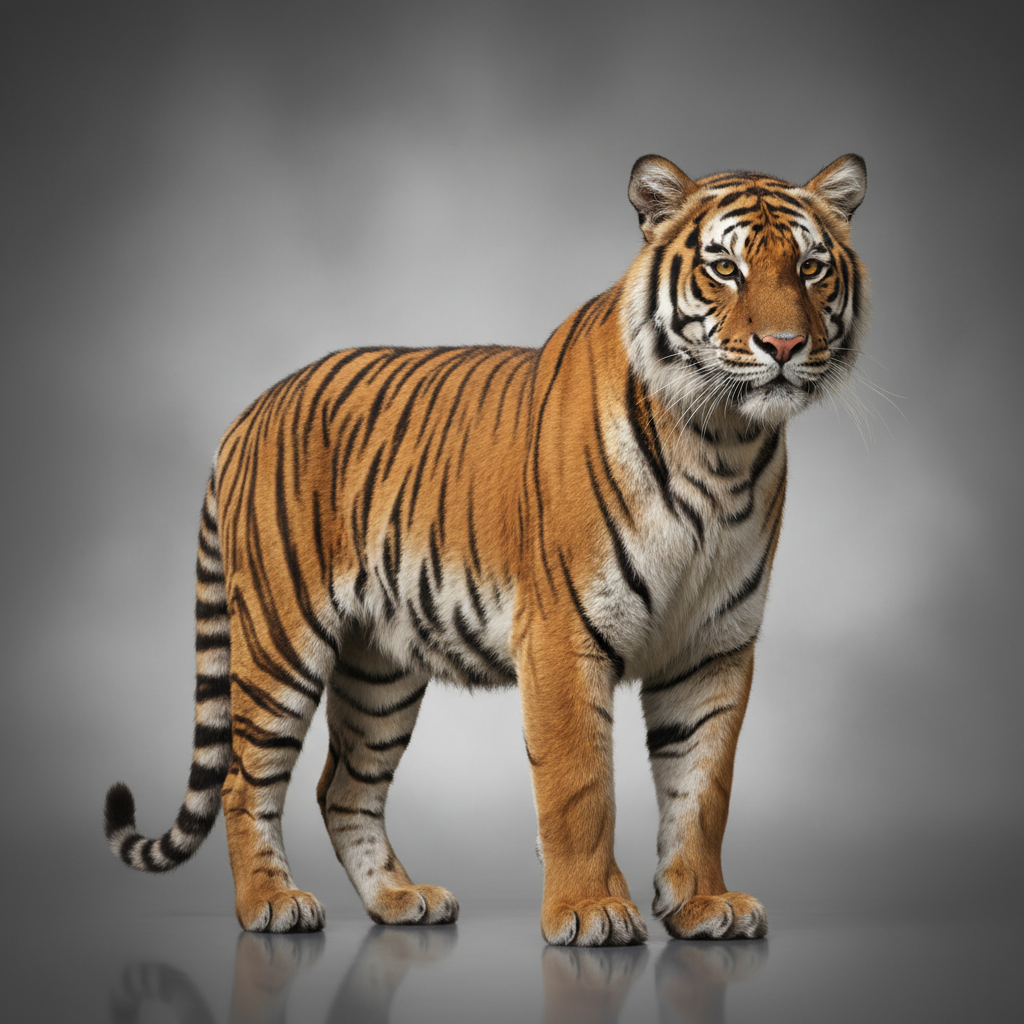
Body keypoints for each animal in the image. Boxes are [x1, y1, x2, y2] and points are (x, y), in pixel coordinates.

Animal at [104, 152, 867, 947]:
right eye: (724, 268)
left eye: (811, 268)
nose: (784, 347)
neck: (722, 445)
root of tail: (249, 412)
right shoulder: (564, 635)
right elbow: (579, 785)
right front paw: (590, 910)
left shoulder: (714, 647)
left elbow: (703, 788)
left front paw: (703, 903)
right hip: (280, 644)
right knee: (242, 778)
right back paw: (271, 903)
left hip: (378, 669)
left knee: (341, 787)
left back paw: (399, 899)